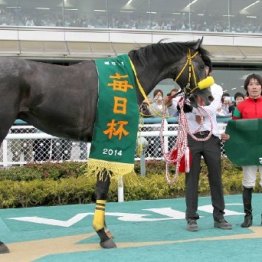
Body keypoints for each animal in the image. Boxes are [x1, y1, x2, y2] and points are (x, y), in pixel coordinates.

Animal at [0, 39, 213, 252]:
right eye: (201, 66)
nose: (209, 97)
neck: (130, 77)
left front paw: (105, 230)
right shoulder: (108, 140)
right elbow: (102, 186)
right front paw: (102, 234)